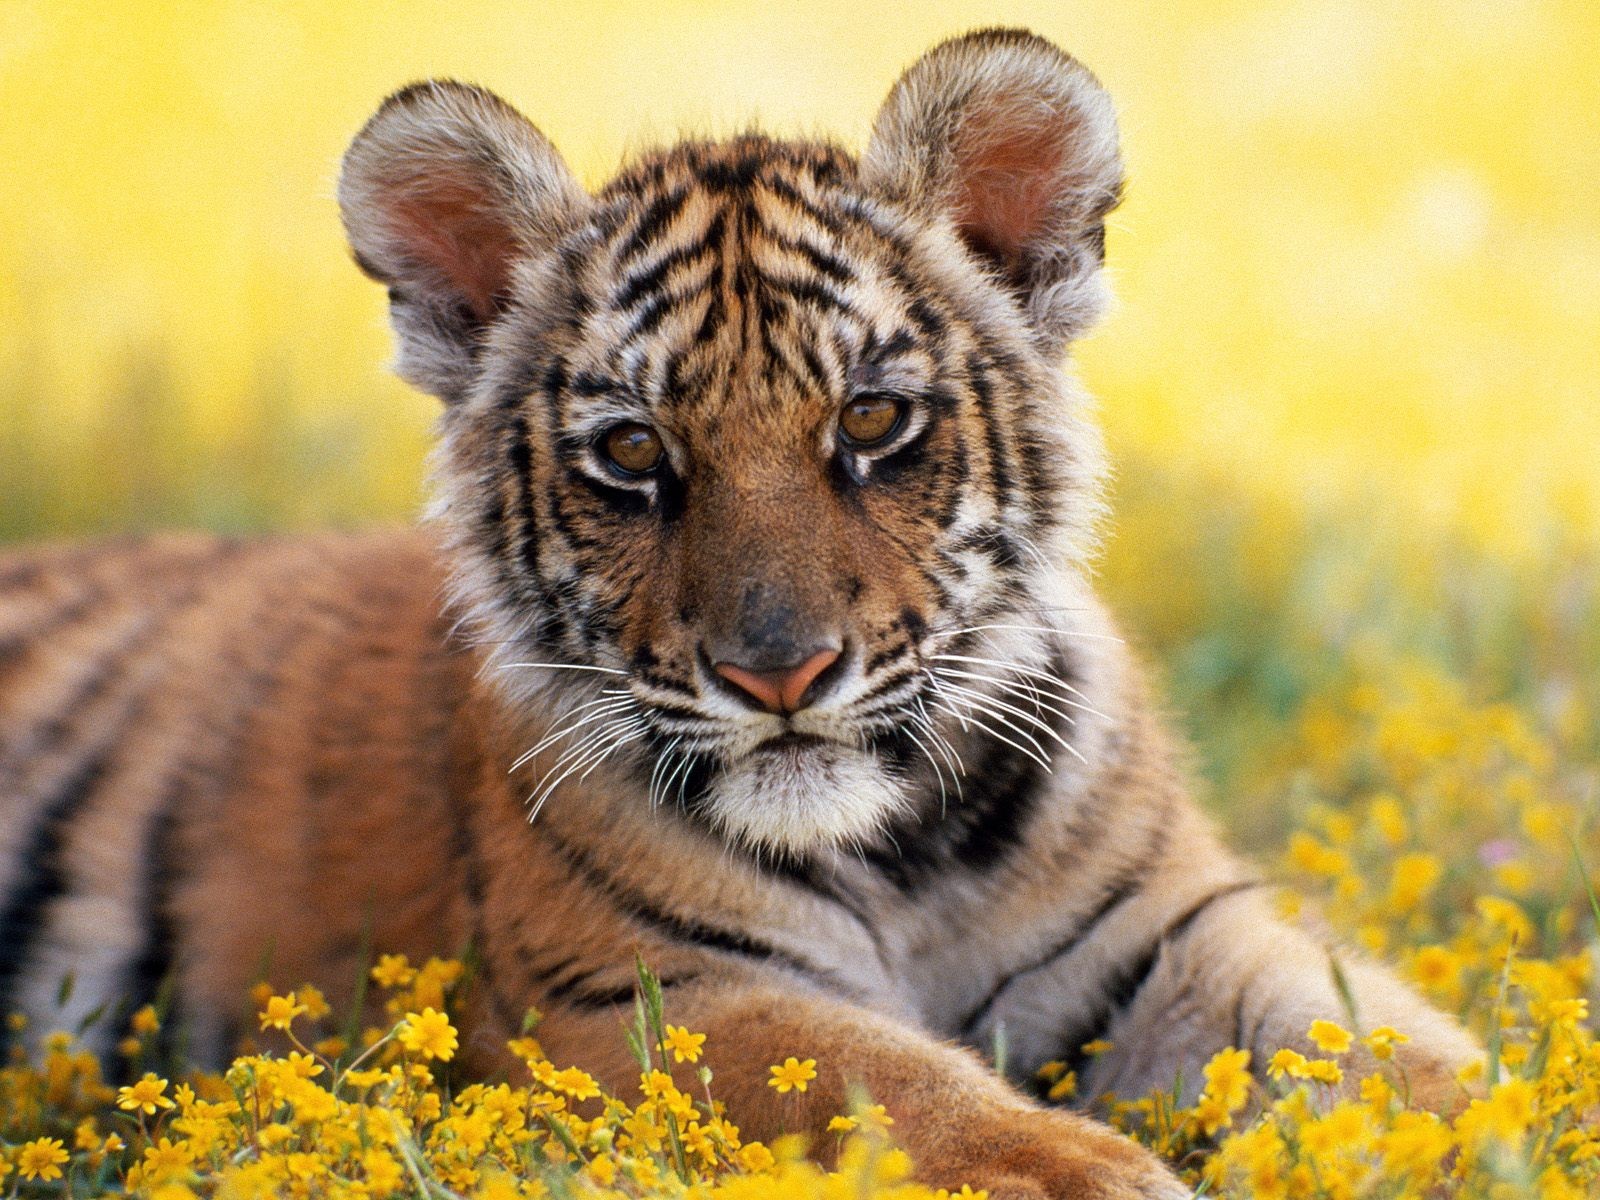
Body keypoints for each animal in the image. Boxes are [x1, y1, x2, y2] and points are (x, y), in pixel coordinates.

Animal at [0, 28, 1478, 1198]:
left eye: (872, 423)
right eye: (633, 452)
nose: (779, 675)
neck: (905, 855)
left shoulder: (1170, 933)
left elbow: (1396, 1051)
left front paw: (1491, 1133)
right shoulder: (645, 995)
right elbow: (894, 1085)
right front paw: (1098, 1176)